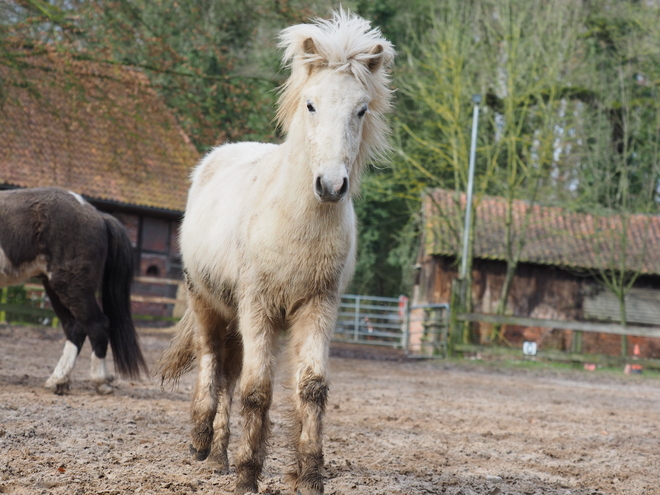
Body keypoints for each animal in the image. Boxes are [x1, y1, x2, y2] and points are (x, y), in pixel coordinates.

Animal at [0, 187, 147, 396]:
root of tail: (98, 215)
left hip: (71, 286)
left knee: (97, 325)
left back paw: (100, 382)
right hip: (56, 287)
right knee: (74, 328)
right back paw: (58, 381)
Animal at [157, 11, 394, 495]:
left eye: (361, 109)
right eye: (310, 105)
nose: (331, 185)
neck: (295, 223)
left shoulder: (318, 306)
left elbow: (311, 388)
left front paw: (310, 475)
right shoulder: (258, 305)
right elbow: (257, 391)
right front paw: (249, 473)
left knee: (230, 374)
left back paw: (219, 456)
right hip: (209, 303)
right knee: (213, 364)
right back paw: (202, 443)